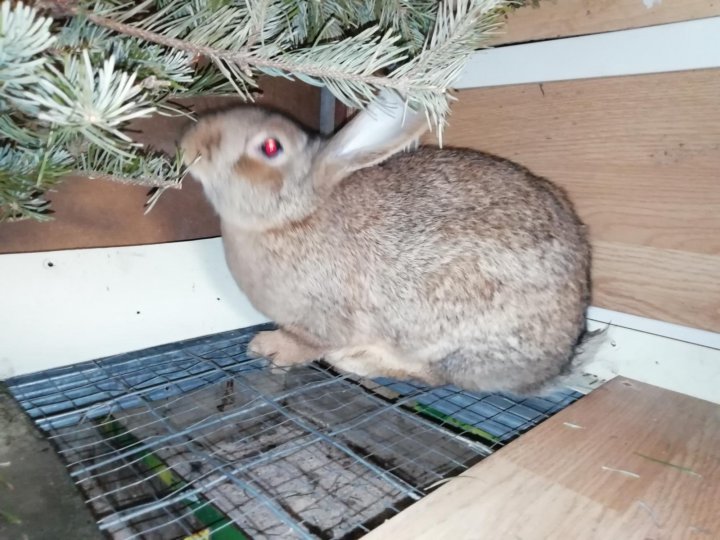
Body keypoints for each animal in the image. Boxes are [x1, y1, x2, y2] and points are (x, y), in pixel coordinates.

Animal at [180, 91, 593, 395]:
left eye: (269, 148)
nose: (188, 145)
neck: (295, 216)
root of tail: (559, 360)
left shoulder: (322, 321)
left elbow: (305, 344)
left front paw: (269, 349)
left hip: (457, 340)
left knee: (434, 377)